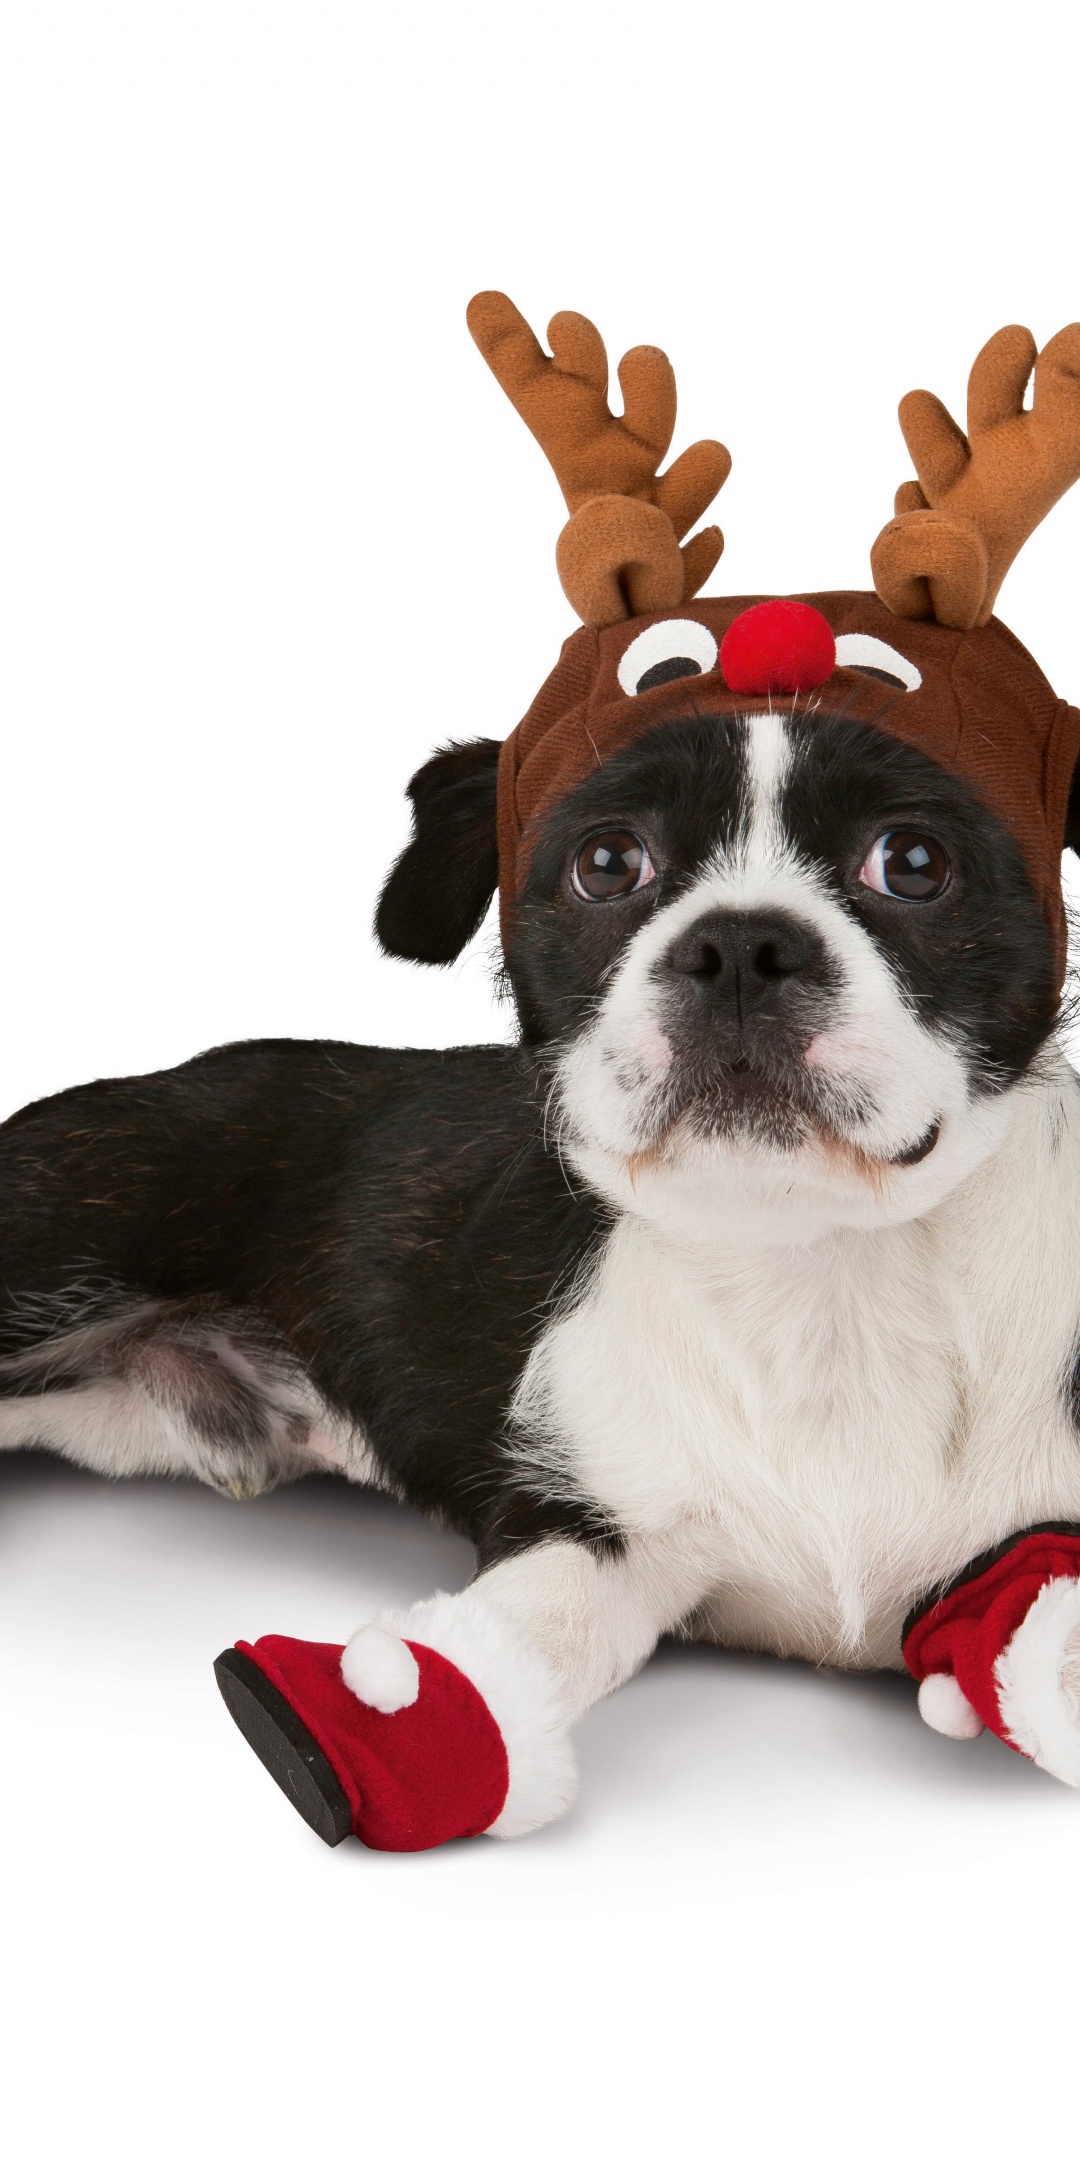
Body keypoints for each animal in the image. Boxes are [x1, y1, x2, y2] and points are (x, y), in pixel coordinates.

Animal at [6, 295, 1080, 1848]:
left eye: (915, 862)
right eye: (608, 861)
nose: (741, 945)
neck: (823, 1285)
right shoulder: (594, 1525)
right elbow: (527, 1632)